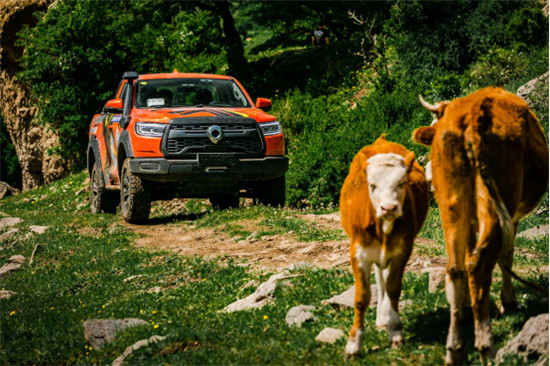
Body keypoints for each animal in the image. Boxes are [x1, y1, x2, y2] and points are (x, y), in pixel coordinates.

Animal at [340, 136, 432, 356]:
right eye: (372, 185)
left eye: (402, 183)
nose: (388, 208)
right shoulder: (358, 253)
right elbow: (362, 297)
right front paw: (353, 343)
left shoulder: (402, 251)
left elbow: (394, 290)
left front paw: (395, 332)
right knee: (379, 280)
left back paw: (384, 316)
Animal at [416, 87, 548, 364]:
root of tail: (472, 116)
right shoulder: (512, 217)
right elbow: (506, 254)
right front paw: (509, 302)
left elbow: (469, 252)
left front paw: (468, 305)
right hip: (499, 200)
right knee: (480, 262)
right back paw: (486, 345)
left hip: (451, 205)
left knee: (456, 267)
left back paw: (455, 348)